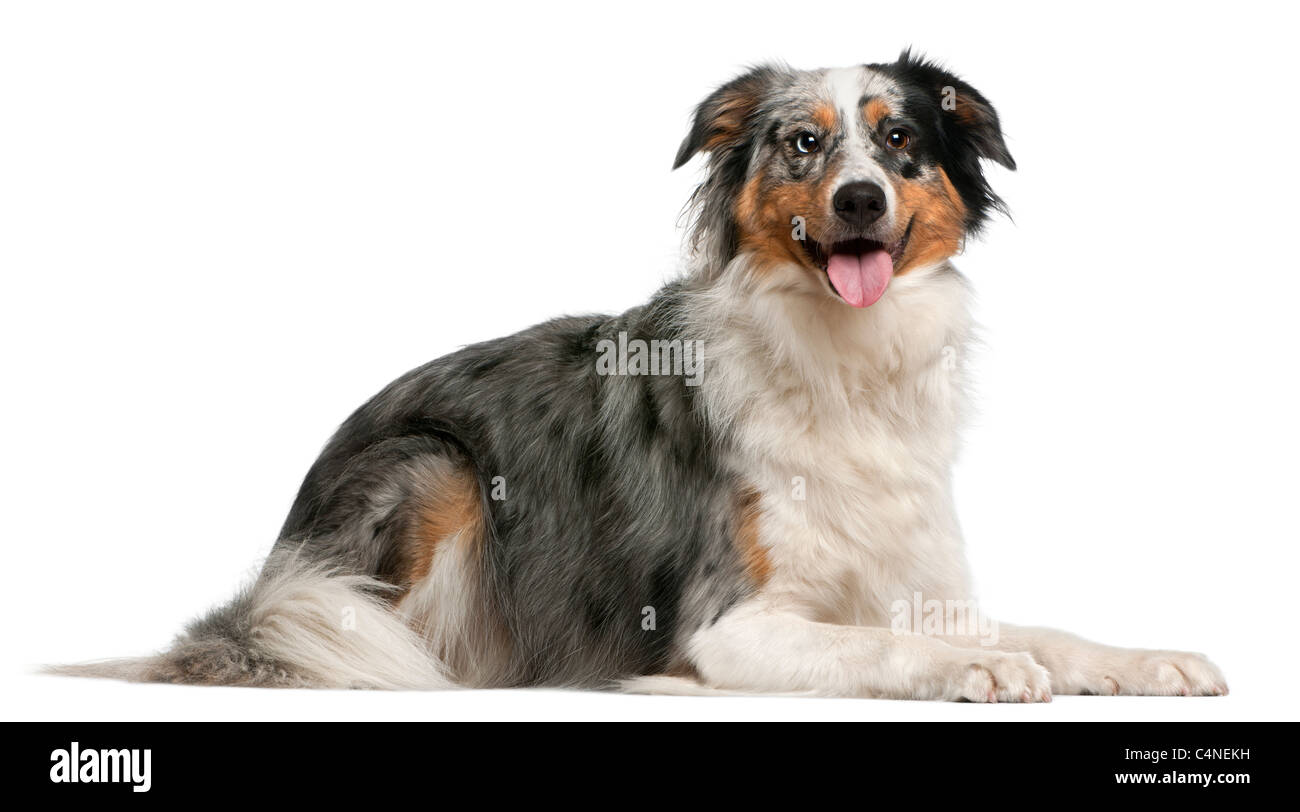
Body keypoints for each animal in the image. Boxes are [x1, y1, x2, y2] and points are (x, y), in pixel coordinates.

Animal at [55, 52, 1222, 696]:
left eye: (900, 140)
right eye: (802, 144)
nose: (859, 200)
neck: (844, 361)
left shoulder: (911, 579)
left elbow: (1040, 627)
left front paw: (1148, 659)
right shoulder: (723, 623)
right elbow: (876, 648)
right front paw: (971, 671)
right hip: (434, 469)